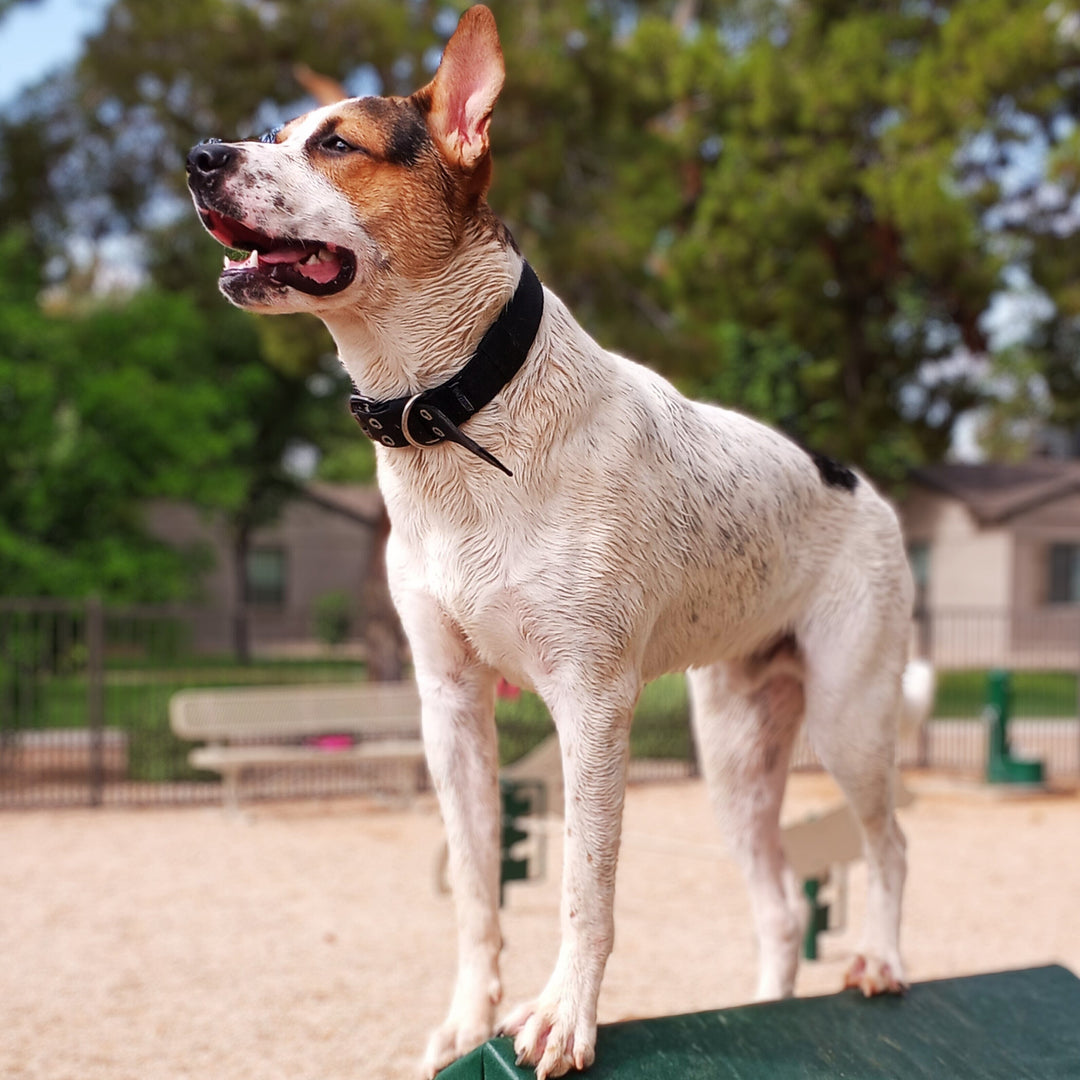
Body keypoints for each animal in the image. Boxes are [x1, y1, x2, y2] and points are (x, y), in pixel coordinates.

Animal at [185, 6, 911, 1071]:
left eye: (336, 145)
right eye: (274, 133)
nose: (201, 156)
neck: (456, 418)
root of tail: (861, 486)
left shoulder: (592, 702)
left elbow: (584, 890)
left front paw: (563, 1017)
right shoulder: (450, 708)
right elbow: (477, 887)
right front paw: (468, 1020)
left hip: (849, 721)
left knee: (889, 846)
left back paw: (883, 963)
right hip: (736, 755)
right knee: (780, 908)